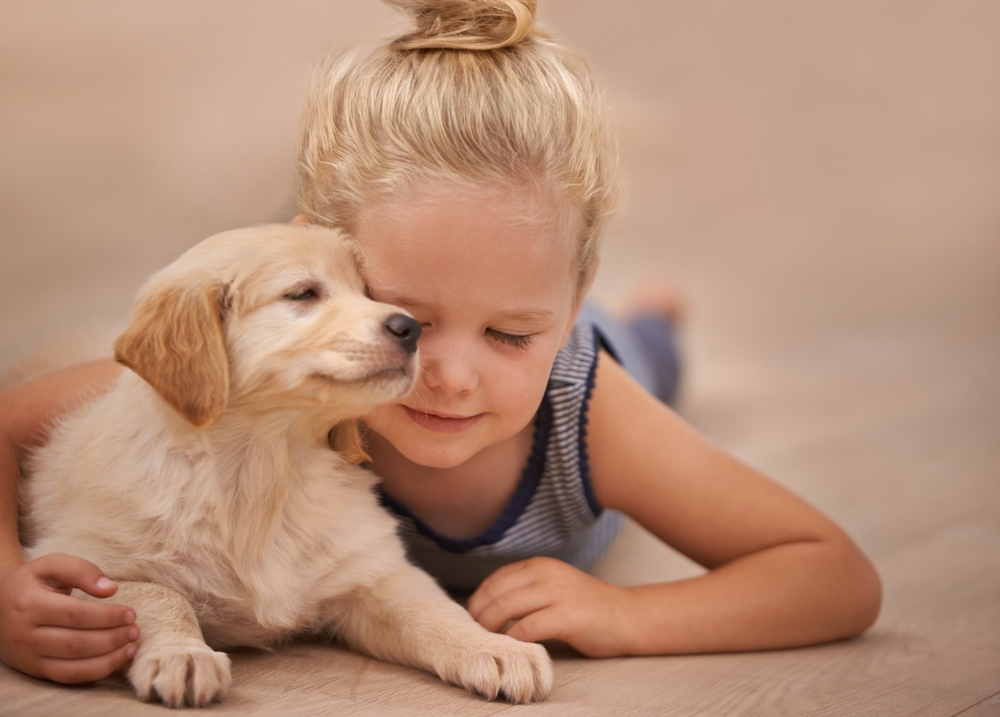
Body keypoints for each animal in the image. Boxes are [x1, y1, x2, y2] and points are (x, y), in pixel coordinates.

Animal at [19, 224, 556, 704]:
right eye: (302, 293)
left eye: (367, 292)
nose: (410, 329)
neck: (266, 466)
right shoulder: (78, 559)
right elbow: (158, 596)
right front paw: (183, 656)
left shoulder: (370, 573)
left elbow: (434, 611)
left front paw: (496, 647)